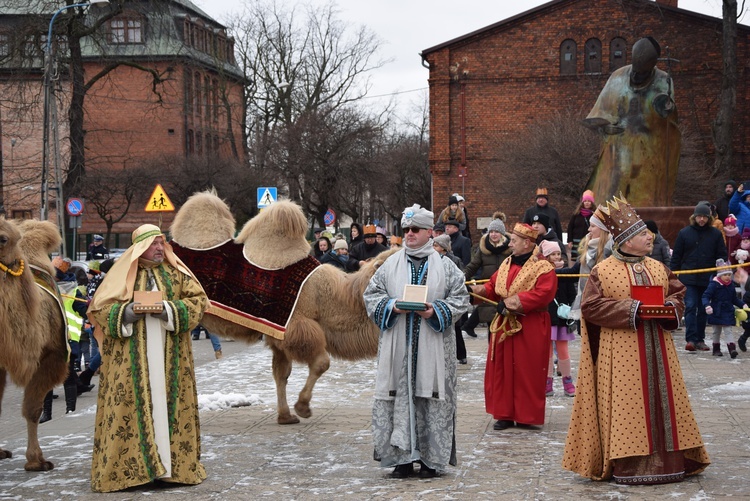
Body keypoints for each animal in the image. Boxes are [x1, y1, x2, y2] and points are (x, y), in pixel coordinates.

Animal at [171, 189, 394, 424]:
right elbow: (321, 363)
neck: (326, 296)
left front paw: (285, 415)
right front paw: (302, 407)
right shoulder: (296, 327)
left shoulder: (278, 336)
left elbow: (281, 373)